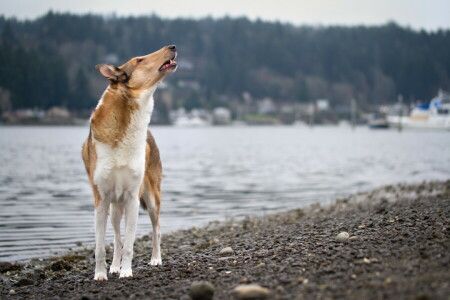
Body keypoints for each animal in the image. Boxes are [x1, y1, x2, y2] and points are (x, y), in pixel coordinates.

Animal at [81, 45, 177, 282]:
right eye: (139, 60)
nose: (172, 46)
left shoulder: (133, 197)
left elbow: (130, 244)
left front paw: (127, 272)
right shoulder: (100, 200)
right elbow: (101, 246)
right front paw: (101, 274)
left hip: (152, 199)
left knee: (156, 230)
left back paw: (155, 259)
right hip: (115, 207)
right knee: (116, 237)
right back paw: (114, 267)